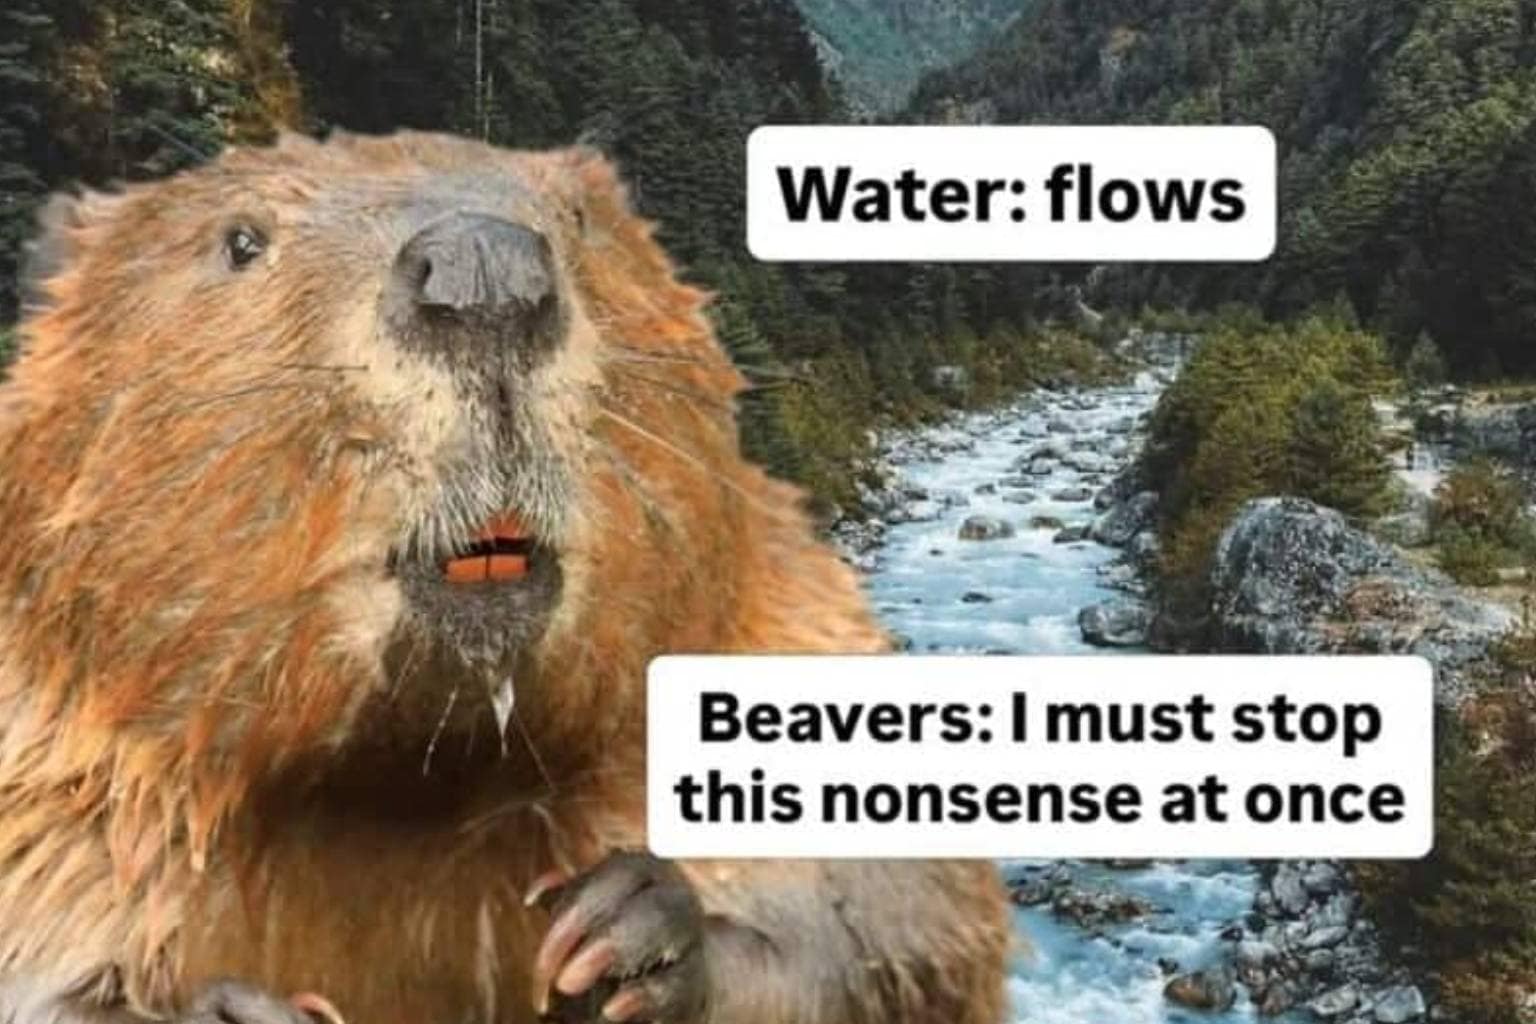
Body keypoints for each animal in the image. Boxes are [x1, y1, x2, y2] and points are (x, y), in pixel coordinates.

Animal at [0, 131, 1010, 1024]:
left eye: (579, 219)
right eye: (241, 241)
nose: (483, 268)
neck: (411, 795)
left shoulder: (797, 628)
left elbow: (906, 927)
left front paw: (619, 935)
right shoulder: (52, 774)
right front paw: (237, 1012)